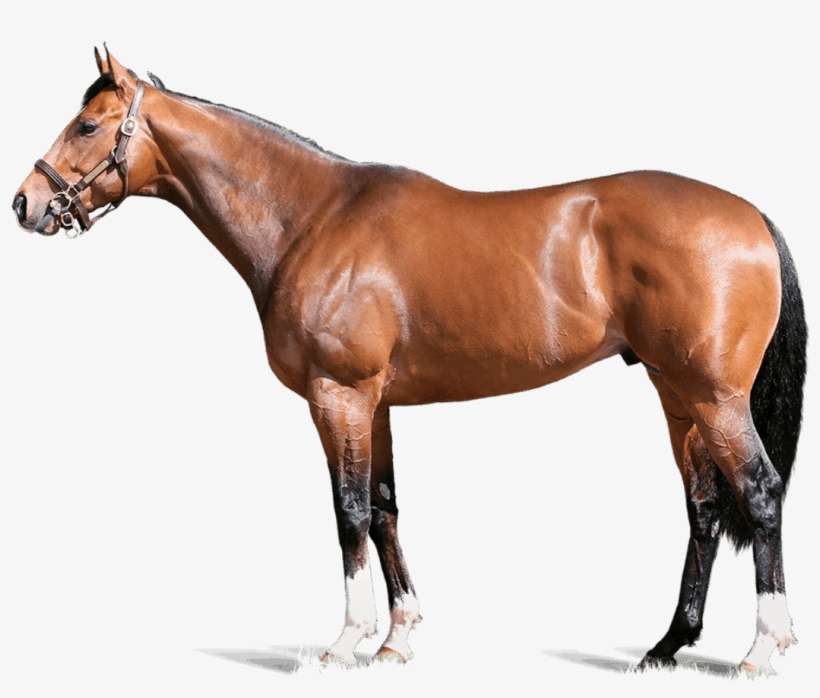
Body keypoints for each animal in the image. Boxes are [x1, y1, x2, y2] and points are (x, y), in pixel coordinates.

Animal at [13, 47, 806, 675]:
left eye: (87, 125)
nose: (26, 202)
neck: (312, 218)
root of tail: (751, 216)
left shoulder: (338, 396)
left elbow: (349, 511)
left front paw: (346, 641)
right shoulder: (378, 404)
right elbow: (387, 508)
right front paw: (397, 638)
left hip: (715, 397)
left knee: (761, 493)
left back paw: (762, 648)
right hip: (678, 396)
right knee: (704, 508)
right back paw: (667, 646)